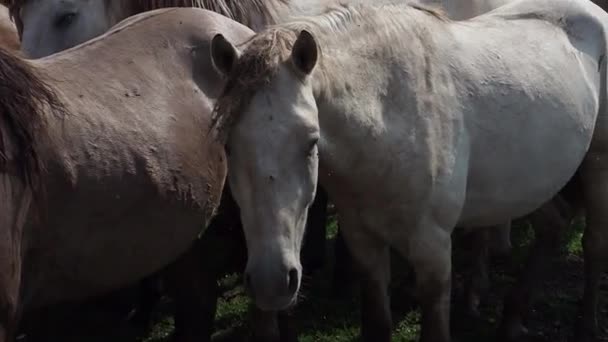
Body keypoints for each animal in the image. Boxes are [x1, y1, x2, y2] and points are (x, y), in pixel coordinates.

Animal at [209, 0, 608, 342]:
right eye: (227, 146)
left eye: (311, 141)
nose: (272, 283)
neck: (390, 115)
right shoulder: (363, 241)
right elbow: (378, 324)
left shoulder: (433, 250)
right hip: (525, 183)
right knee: (553, 226)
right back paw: (510, 321)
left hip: (595, 166)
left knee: (593, 243)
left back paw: (585, 326)